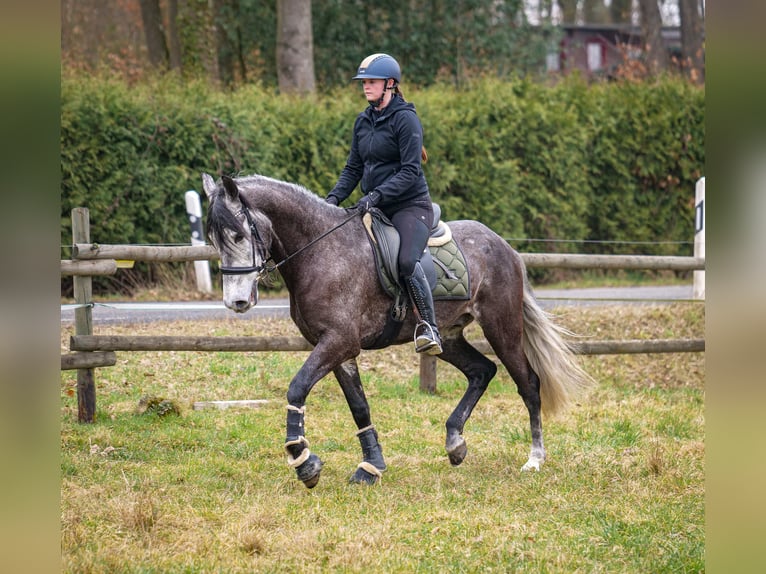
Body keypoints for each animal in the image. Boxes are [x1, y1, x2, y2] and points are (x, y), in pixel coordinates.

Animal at [201, 173, 592, 488]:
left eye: (238, 234)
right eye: (215, 240)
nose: (236, 302)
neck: (321, 251)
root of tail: (503, 245)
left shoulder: (338, 341)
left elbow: (297, 387)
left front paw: (303, 461)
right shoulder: (338, 348)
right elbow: (359, 407)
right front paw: (371, 467)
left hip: (502, 327)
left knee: (528, 384)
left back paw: (534, 458)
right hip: (450, 337)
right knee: (482, 371)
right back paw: (455, 443)